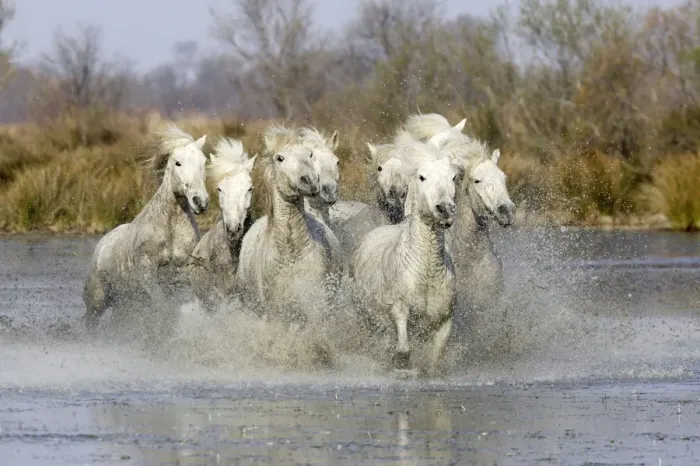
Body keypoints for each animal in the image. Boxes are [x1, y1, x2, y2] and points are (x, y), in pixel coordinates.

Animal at [82, 124, 209, 342]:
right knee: (89, 321)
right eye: (178, 163)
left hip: (124, 302)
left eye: (204, 161)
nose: (200, 201)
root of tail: (102, 245)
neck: (169, 228)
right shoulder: (147, 272)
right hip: (98, 300)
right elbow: (163, 309)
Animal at [235, 124, 343, 328]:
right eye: (280, 158)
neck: (291, 250)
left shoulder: (316, 307)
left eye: (309, 155)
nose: (310, 181)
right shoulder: (276, 313)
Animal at [351, 139, 463, 376]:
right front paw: (400, 366)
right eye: (422, 177)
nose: (445, 209)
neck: (427, 270)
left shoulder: (444, 320)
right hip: (366, 314)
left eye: (453, 177)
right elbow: (403, 350)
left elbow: (433, 360)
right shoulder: (400, 307)